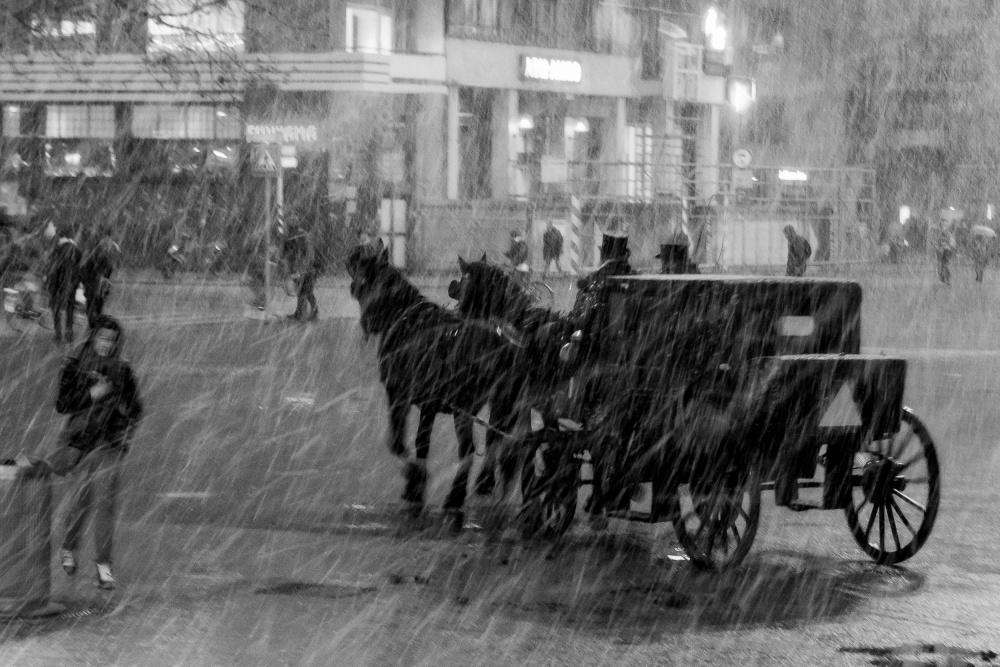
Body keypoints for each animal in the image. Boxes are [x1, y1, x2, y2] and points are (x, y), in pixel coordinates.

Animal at [348, 240, 528, 532]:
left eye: (361, 273)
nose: (368, 324)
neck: (405, 320)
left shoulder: (398, 396)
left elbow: (398, 444)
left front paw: (413, 480)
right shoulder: (428, 406)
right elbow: (422, 444)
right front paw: (416, 486)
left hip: (467, 407)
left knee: (471, 451)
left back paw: (456, 497)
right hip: (501, 405)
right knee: (498, 448)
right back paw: (485, 491)